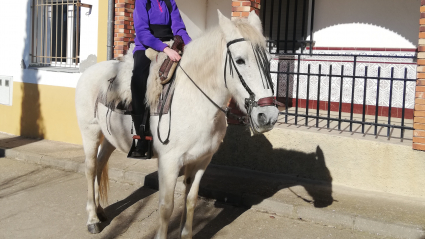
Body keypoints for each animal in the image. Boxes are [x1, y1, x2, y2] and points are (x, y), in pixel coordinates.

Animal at [74, 10, 278, 239]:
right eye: (240, 60)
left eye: (269, 61)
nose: (268, 116)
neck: (195, 100)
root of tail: (90, 72)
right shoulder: (169, 163)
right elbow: (166, 206)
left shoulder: (201, 160)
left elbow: (190, 200)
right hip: (90, 132)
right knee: (90, 168)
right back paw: (92, 219)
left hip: (111, 137)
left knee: (100, 165)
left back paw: (100, 211)